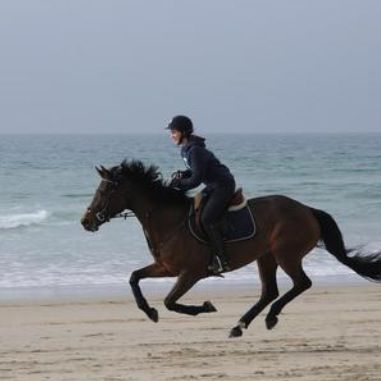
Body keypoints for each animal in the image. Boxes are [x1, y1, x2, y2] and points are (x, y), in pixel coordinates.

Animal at [81, 159, 380, 336]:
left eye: (104, 191)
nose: (85, 221)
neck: (169, 220)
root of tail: (307, 210)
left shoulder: (190, 273)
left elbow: (170, 301)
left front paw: (204, 307)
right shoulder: (166, 267)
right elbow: (134, 278)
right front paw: (149, 311)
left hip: (286, 254)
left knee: (301, 284)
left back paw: (269, 318)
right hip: (266, 256)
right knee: (270, 291)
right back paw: (240, 325)